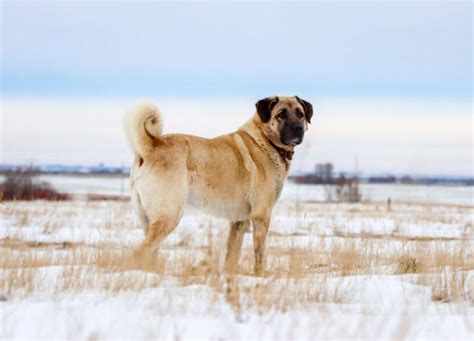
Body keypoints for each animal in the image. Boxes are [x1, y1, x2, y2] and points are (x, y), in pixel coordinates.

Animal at [124, 95, 312, 274]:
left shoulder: (239, 220)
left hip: (148, 220)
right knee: (140, 252)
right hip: (169, 215)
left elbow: (232, 255)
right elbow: (259, 254)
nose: (298, 128)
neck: (265, 140)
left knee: (150, 253)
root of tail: (152, 146)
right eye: (281, 115)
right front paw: (260, 276)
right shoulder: (261, 215)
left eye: (300, 114)